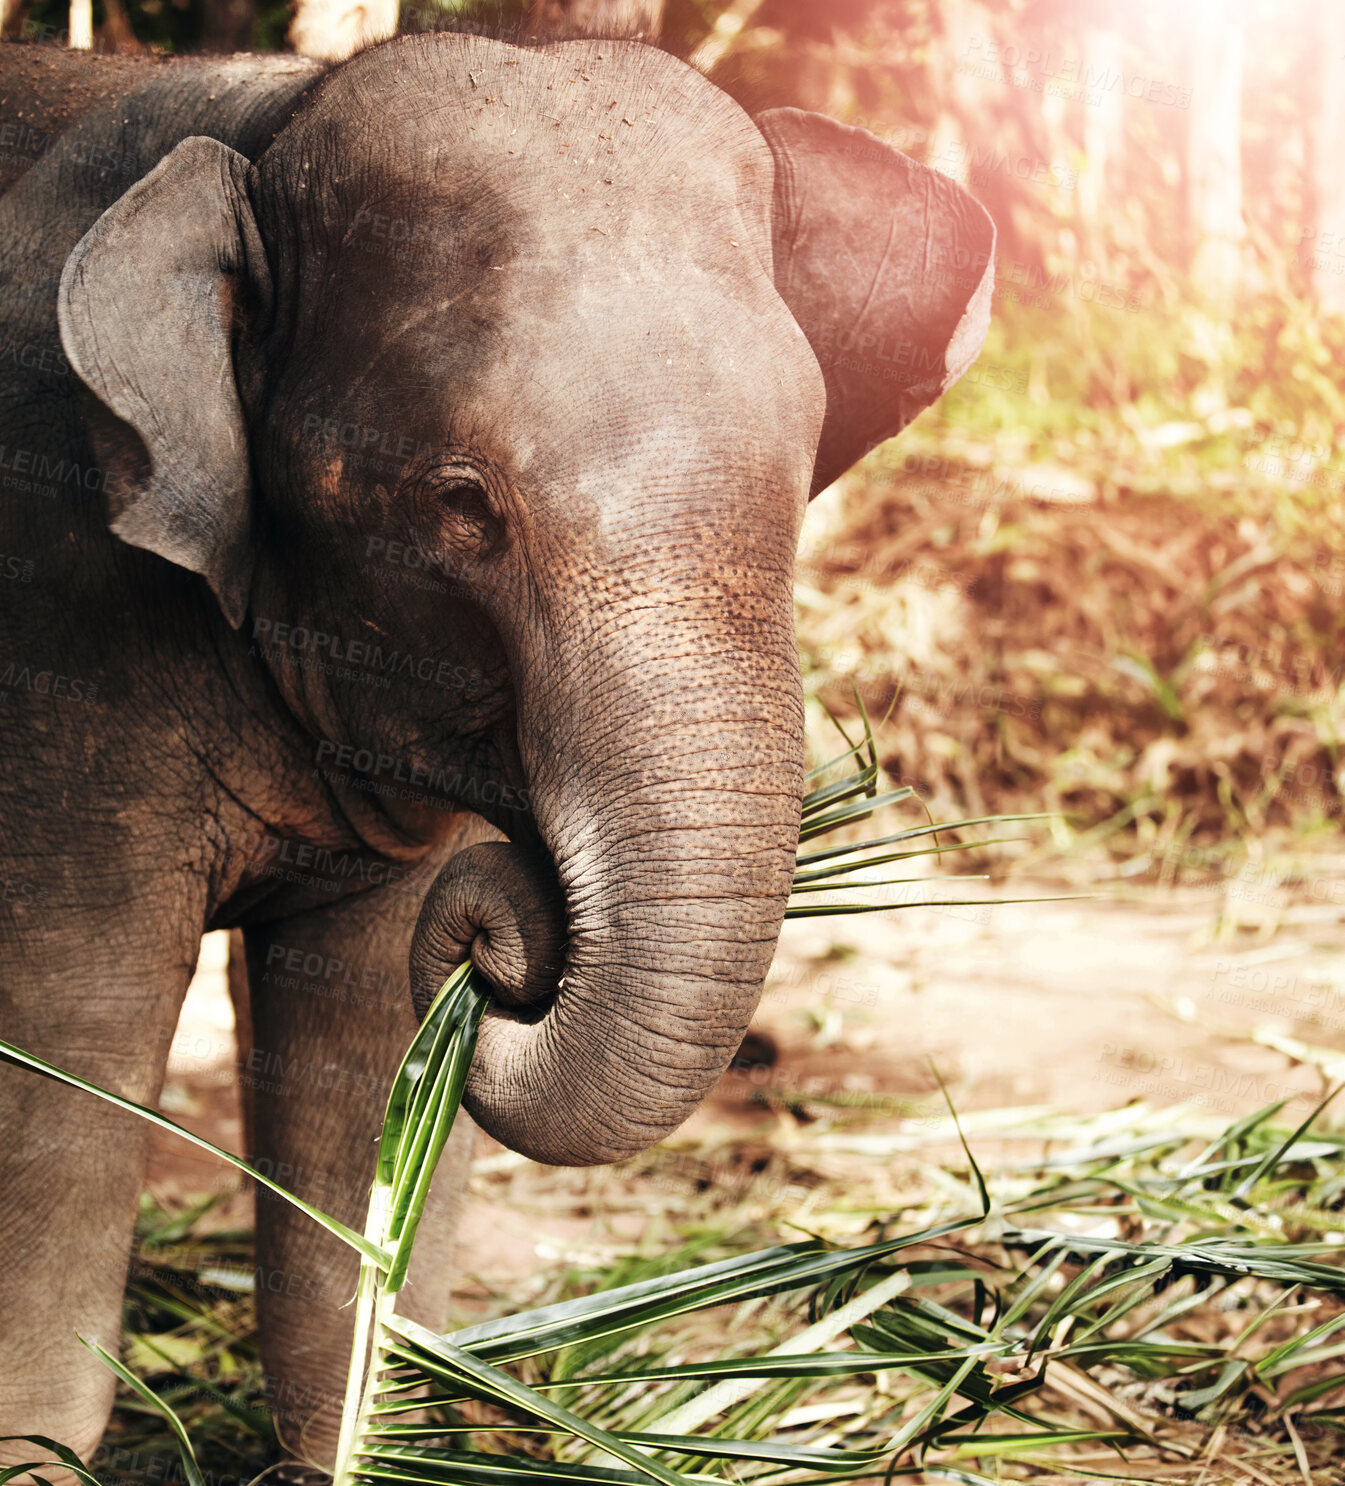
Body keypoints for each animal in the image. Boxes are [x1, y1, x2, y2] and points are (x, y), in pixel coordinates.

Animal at [0, 26, 986, 1474]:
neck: (272, 111)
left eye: (802, 469)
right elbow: (71, 1034)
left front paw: (354, 1434)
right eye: (462, 504)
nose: (514, 925)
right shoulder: (56, 632)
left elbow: (368, 1030)